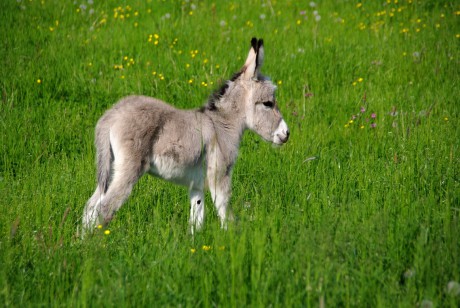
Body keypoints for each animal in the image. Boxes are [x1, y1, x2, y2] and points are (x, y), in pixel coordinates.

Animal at [83, 37, 288, 235]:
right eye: (268, 103)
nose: (286, 134)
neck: (222, 124)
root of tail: (111, 116)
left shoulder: (196, 185)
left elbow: (197, 219)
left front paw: (195, 243)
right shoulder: (220, 173)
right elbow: (225, 212)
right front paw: (232, 240)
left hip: (109, 166)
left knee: (90, 208)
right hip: (129, 168)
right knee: (103, 209)